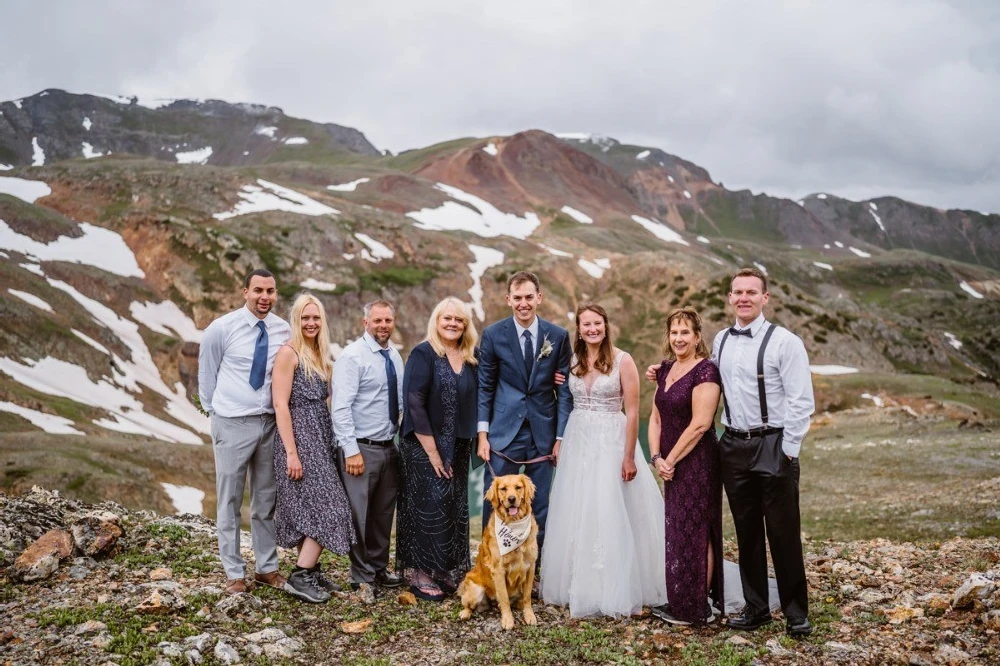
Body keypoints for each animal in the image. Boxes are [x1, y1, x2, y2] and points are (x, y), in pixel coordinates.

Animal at [458, 472, 540, 628]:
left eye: (518, 487)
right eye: (503, 489)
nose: (511, 499)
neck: (514, 524)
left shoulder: (530, 566)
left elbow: (527, 596)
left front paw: (529, 615)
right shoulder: (499, 570)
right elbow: (504, 598)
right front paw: (508, 619)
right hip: (475, 589)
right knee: (467, 604)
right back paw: (465, 613)